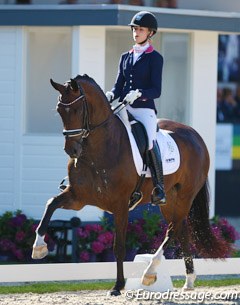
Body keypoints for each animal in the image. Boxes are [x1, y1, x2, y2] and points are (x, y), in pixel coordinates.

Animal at [31, 73, 229, 294]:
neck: (99, 148)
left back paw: (150, 272)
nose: (72, 150)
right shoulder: (78, 198)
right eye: (59, 110)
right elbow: (51, 204)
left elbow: (119, 247)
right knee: (181, 229)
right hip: (170, 200)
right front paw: (38, 247)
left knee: (173, 229)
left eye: (77, 110)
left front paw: (118, 286)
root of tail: (196, 136)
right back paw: (189, 281)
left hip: (185, 196)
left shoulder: (120, 205)